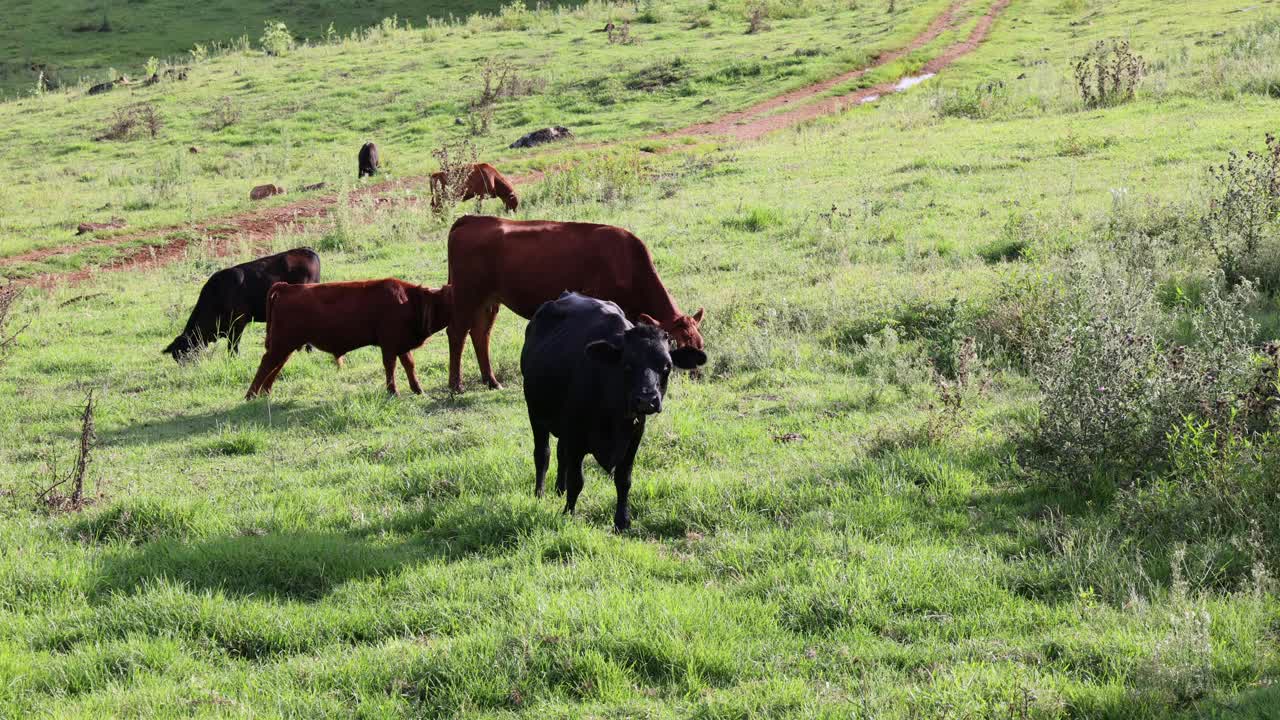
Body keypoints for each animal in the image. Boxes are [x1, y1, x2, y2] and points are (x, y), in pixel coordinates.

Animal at [162, 248, 322, 361]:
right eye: (176, 358)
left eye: (184, 354)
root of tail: (307, 250)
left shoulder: (238, 321)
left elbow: (233, 345)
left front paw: (233, 360)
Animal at [245, 275, 455, 397]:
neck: (409, 300)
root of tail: (287, 287)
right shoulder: (389, 344)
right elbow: (391, 366)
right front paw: (393, 391)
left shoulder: (401, 344)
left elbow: (409, 365)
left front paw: (418, 389)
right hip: (282, 343)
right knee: (267, 364)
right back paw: (251, 395)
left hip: (285, 345)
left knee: (275, 365)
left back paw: (265, 393)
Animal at [448, 213, 711, 392]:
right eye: (678, 343)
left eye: (700, 343)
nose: (697, 375)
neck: (626, 262)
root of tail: (471, 220)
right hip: (466, 294)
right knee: (457, 333)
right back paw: (455, 385)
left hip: (489, 300)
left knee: (480, 334)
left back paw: (491, 381)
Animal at [519, 289, 711, 527]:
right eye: (627, 365)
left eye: (667, 366)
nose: (647, 399)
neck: (614, 413)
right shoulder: (576, 436)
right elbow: (576, 480)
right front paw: (569, 515)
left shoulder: (633, 437)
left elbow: (623, 480)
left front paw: (622, 521)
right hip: (536, 414)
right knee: (542, 455)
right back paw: (540, 493)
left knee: (560, 453)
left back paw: (559, 490)